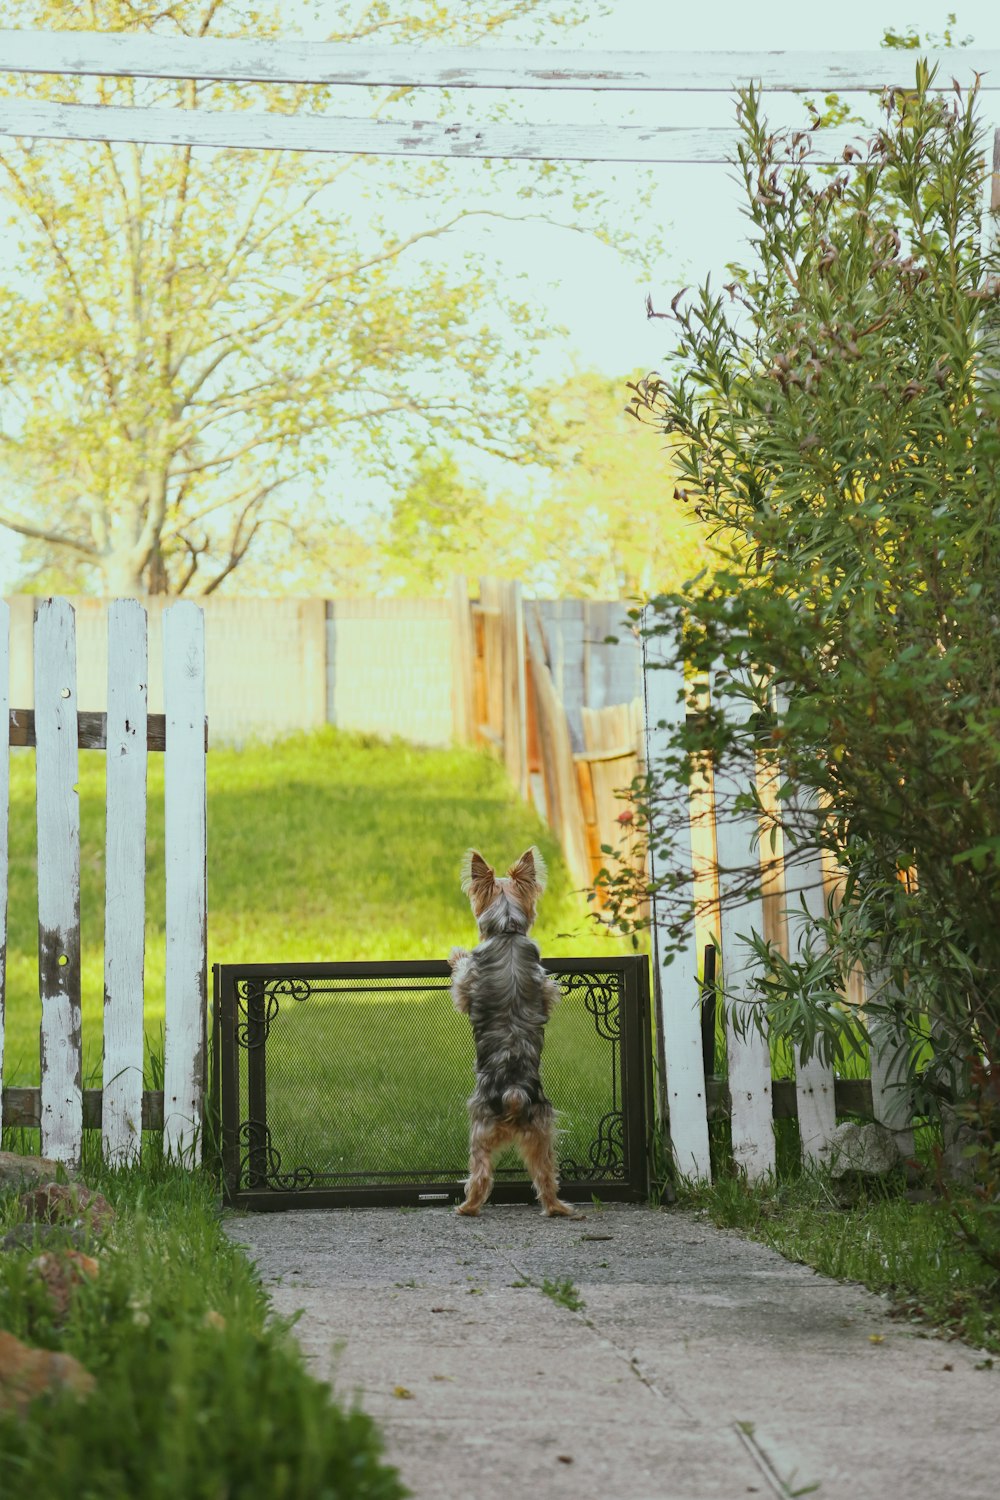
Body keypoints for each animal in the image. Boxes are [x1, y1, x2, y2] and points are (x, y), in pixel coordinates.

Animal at [446, 846, 578, 1218]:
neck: (506, 930)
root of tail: (514, 1094)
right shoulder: (544, 985)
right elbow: (549, 993)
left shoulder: (467, 983)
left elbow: (461, 977)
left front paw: (456, 953)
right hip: (542, 1129)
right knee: (546, 1172)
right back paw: (558, 1207)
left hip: (479, 1128)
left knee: (480, 1174)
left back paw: (467, 1208)